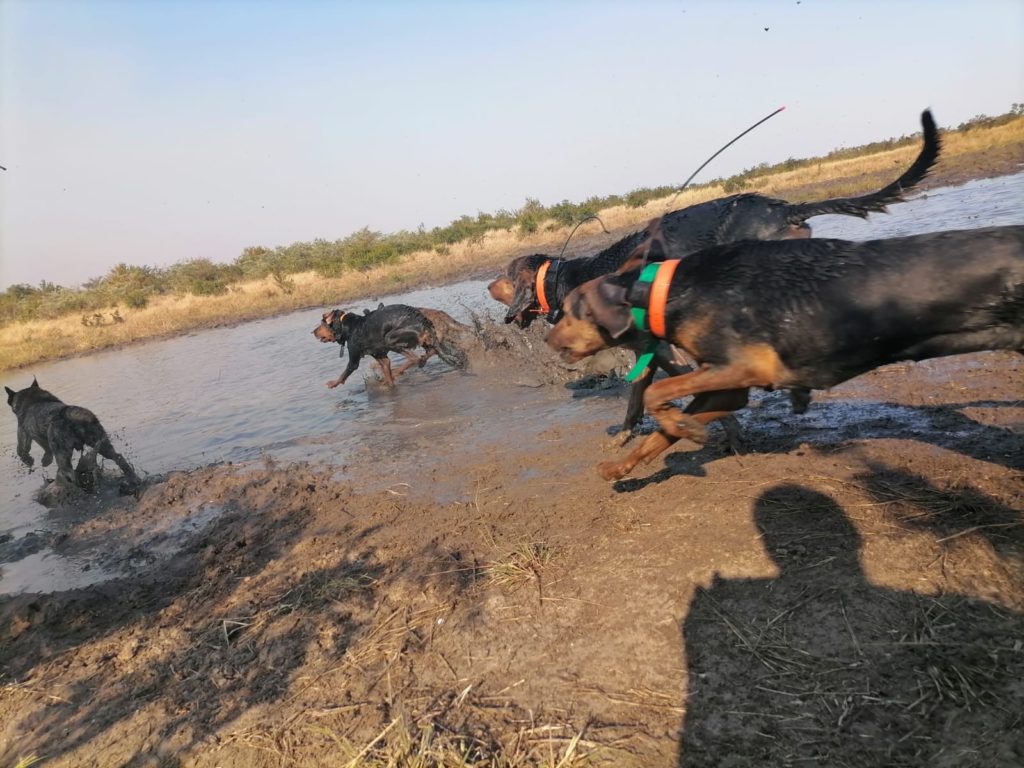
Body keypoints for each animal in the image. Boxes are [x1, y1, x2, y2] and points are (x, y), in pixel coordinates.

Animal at [6, 376, 141, 489]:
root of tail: (70, 415)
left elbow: (23, 450)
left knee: (71, 475)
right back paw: (134, 478)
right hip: (102, 444)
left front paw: (34, 461)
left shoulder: (24, 434)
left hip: (63, 457)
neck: (33, 399)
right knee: (118, 457)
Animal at [311, 303, 468, 387]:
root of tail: (421, 318)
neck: (347, 326)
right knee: (431, 352)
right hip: (427, 340)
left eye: (321, 324)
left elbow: (345, 372)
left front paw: (334, 383)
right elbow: (387, 373)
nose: (313, 332)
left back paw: (410, 365)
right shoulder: (380, 356)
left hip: (390, 339)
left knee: (414, 358)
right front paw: (388, 386)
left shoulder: (354, 358)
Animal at [548, 224, 1024, 481]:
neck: (667, 291)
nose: (549, 338)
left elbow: (653, 395)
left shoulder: (744, 367)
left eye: (569, 312)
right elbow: (657, 437)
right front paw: (623, 468)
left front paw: (688, 429)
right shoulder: (727, 387)